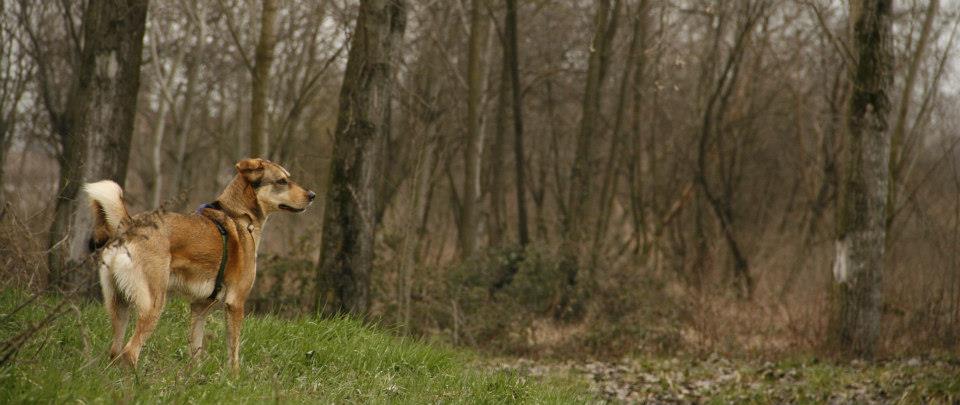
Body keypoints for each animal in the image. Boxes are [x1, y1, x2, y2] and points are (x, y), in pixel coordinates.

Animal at [84, 156, 314, 370]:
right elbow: (233, 352)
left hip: (119, 304)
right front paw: (234, 378)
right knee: (130, 352)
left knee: (115, 352)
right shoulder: (235, 304)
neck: (239, 215)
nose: (313, 195)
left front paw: (195, 378)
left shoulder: (200, 307)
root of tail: (130, 225)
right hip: (153, 304)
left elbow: (195, 350)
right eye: (282, 181)